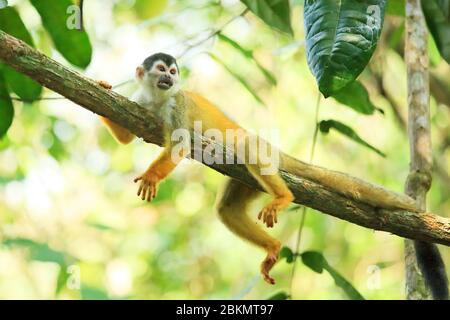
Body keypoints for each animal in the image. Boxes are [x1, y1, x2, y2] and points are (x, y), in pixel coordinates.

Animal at [97, 52, 446, 296]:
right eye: (161, 70)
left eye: (172, 73)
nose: (169, 79)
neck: (159, 99)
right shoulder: (142, 101)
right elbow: (126, 137)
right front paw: (102, 88)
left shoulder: (177, 104)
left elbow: (180, 146)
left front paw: (152, 176)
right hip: (245, 181)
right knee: (227, 209)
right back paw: (272, 247)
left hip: (258, 154)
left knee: (247, 145)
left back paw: (283, 195)